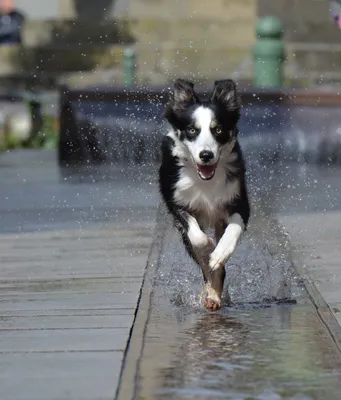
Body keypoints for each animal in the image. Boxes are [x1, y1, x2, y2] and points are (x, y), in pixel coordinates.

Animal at [157, 77, 250, 310]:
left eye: (218, 130)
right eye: (192, 130)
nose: (206, 155)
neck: (205, 181)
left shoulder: (239, 200)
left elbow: (233, 229)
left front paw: (218, 253)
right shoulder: (177, 203)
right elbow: (198, 239)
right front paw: (209, 247)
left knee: (219, 269)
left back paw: (214, 294)